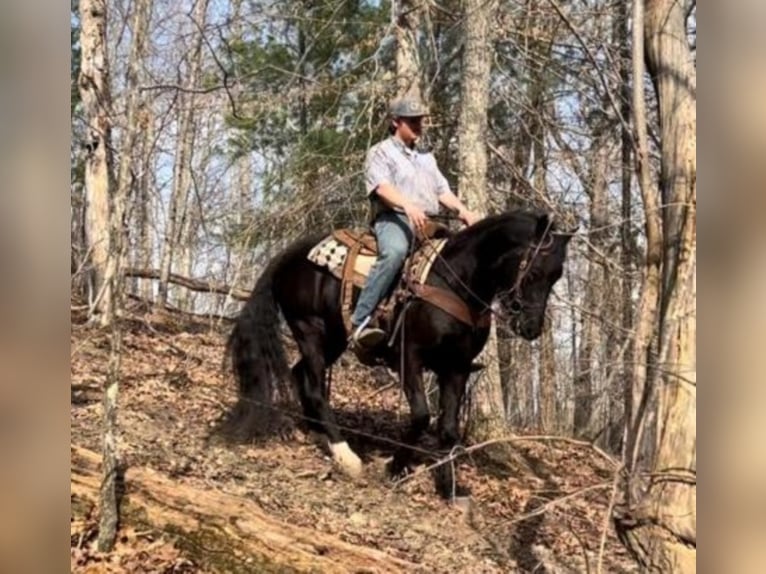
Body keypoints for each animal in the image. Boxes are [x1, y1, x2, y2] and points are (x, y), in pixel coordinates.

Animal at [222, 210, 576, 500]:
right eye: (534, 272)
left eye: (557, 276)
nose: (531, 328)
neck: (454, 281)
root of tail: (291, 255)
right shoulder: (410, 358)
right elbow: (421, 415)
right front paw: (395, 467)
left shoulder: (456, 368)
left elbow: (448, 429)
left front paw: (449, 488)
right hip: (308, 328)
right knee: (315, 387)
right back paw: (346, 456)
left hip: (334, 337)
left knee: (302, 377)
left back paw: (319, 433)